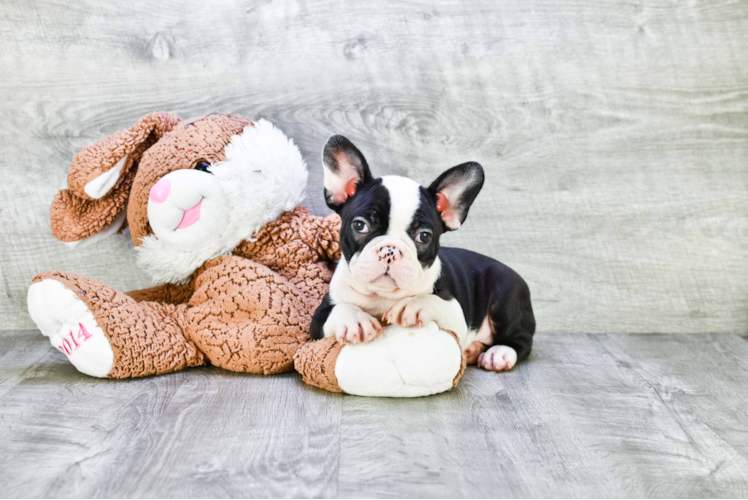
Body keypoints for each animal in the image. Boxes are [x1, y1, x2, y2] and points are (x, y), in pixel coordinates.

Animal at [310, 136, 536, 372]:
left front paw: (414, 304)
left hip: (506, 292)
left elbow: (435, 301)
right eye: (360, 225)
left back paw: (499, 353)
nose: (390, 250)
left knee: (522, 340)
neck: (382, 296)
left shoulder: (457, 317)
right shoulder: (319, 318)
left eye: (424, 236)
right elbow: (337, 310)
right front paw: (354, 319)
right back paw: (475, 350)